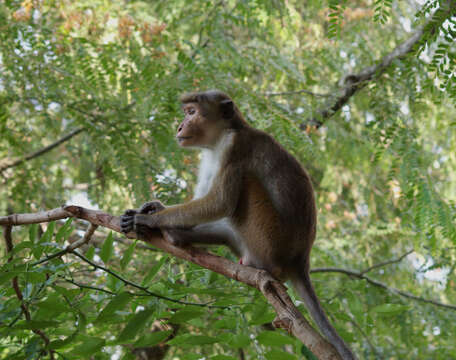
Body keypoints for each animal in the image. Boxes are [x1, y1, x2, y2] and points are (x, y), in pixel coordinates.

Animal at [121, 90, 356, 360]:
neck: (223, 135)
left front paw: (148, 218)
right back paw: (175, 236)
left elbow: (218, 203)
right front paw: (153, 209)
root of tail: (300, 259)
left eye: (192, 112)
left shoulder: (234, 147)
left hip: (268, 238)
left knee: (246, 180)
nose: (180, 126)